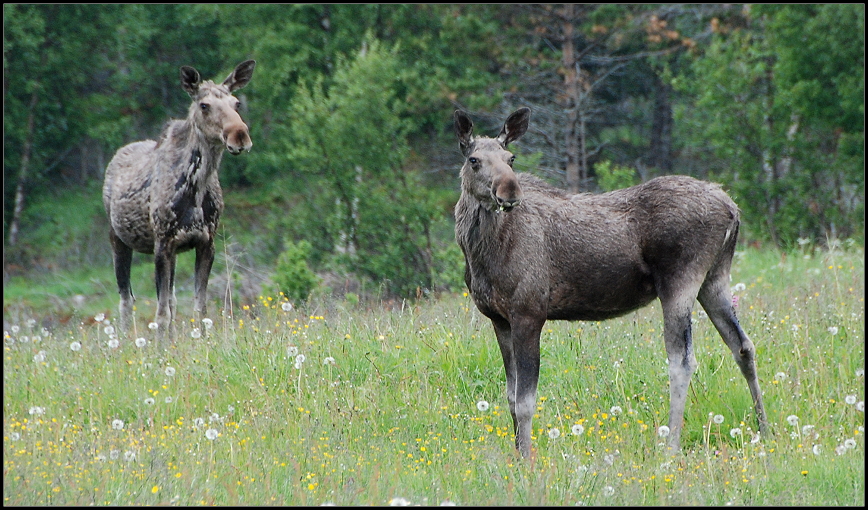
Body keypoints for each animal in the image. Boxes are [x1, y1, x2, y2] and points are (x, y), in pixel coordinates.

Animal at [104, 59, 256, 340]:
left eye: (236, 103)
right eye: (204, 105)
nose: (239, 135)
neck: (195, 188)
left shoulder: (206, 243)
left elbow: (199, 309)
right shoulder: (162, 243)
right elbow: (161, 314)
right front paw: (161, 348)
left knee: (170, 300)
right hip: (117, 238)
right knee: (126, 299)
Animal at [450, 107, 768, 458]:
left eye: (511, 158)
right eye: (474, 160)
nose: (509, 191)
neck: (480, 254)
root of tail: (733, 209)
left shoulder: (529, 313)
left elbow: (524, 402)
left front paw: (528, 460)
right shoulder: (499, 319)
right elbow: (509, 397)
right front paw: (518, 456)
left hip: (680, 281)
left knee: (682, 362)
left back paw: (671, 445)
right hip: (714, 280)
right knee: (743, 346)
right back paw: (764, 429)